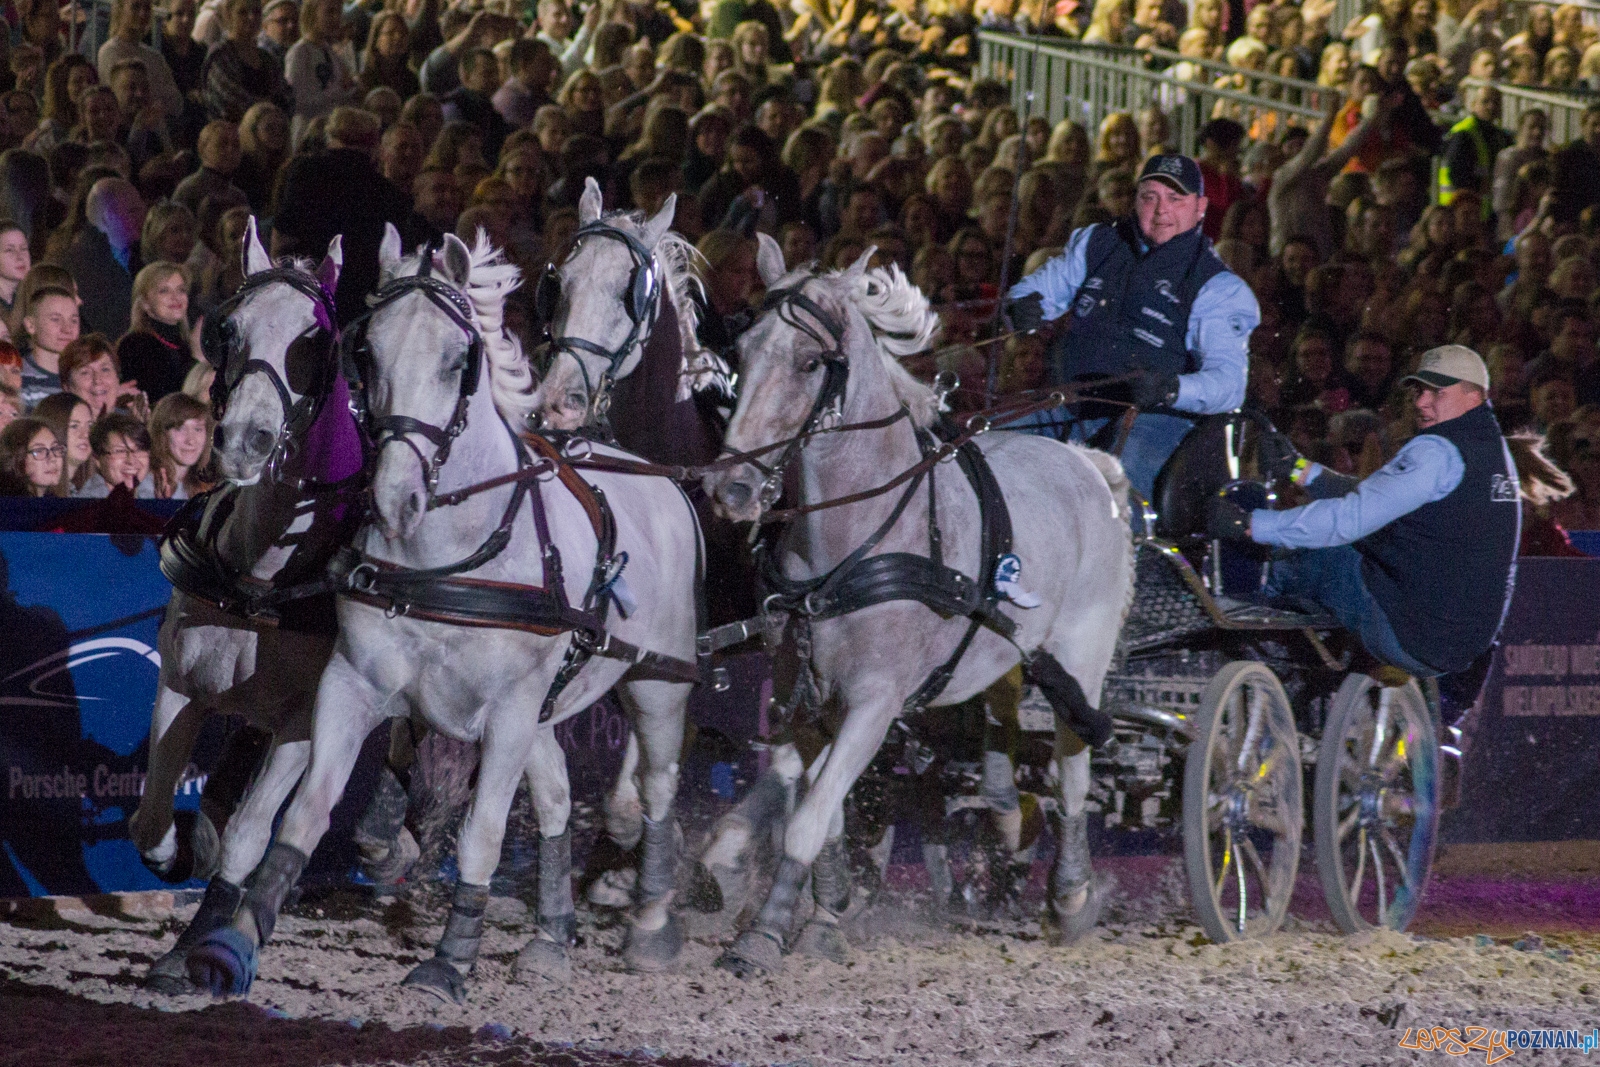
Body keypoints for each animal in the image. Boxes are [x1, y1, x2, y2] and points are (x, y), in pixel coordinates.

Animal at [129, 223, 364, 991]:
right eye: (227, 328)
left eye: (319, 340)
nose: (245, 442)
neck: (264, 578)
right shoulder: (181, 685)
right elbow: (152, 817)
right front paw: (185, 849)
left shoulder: (303, 723)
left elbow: (249, 837)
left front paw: (203, 946)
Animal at [190, 230, 704, 1004]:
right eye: (364, 350)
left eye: (459, 360)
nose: (396, 497)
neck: (449, 556)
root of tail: (653, 475)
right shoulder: (351, 684)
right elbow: (306, 813)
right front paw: (234, 938)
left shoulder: (509, 712)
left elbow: (482, 832)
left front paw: (449, 959)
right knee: (556, 796)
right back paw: (551, 935)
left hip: (655, 685)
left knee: (658, 785)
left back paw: (651, 924)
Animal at [704, 251, 1139, 979]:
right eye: (742, 351)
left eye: (809, 362)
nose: (729, 487)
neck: (852, 544)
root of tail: (1086, 462)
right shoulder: (806, 702)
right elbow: (823, 814)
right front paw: (825, 912)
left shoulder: (874, 702)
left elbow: (807, 819)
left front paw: (762, 935)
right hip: (1004, 662)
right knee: (1007, 757)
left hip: (1082, 656)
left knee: (1073, 769)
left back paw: (1071, 895)